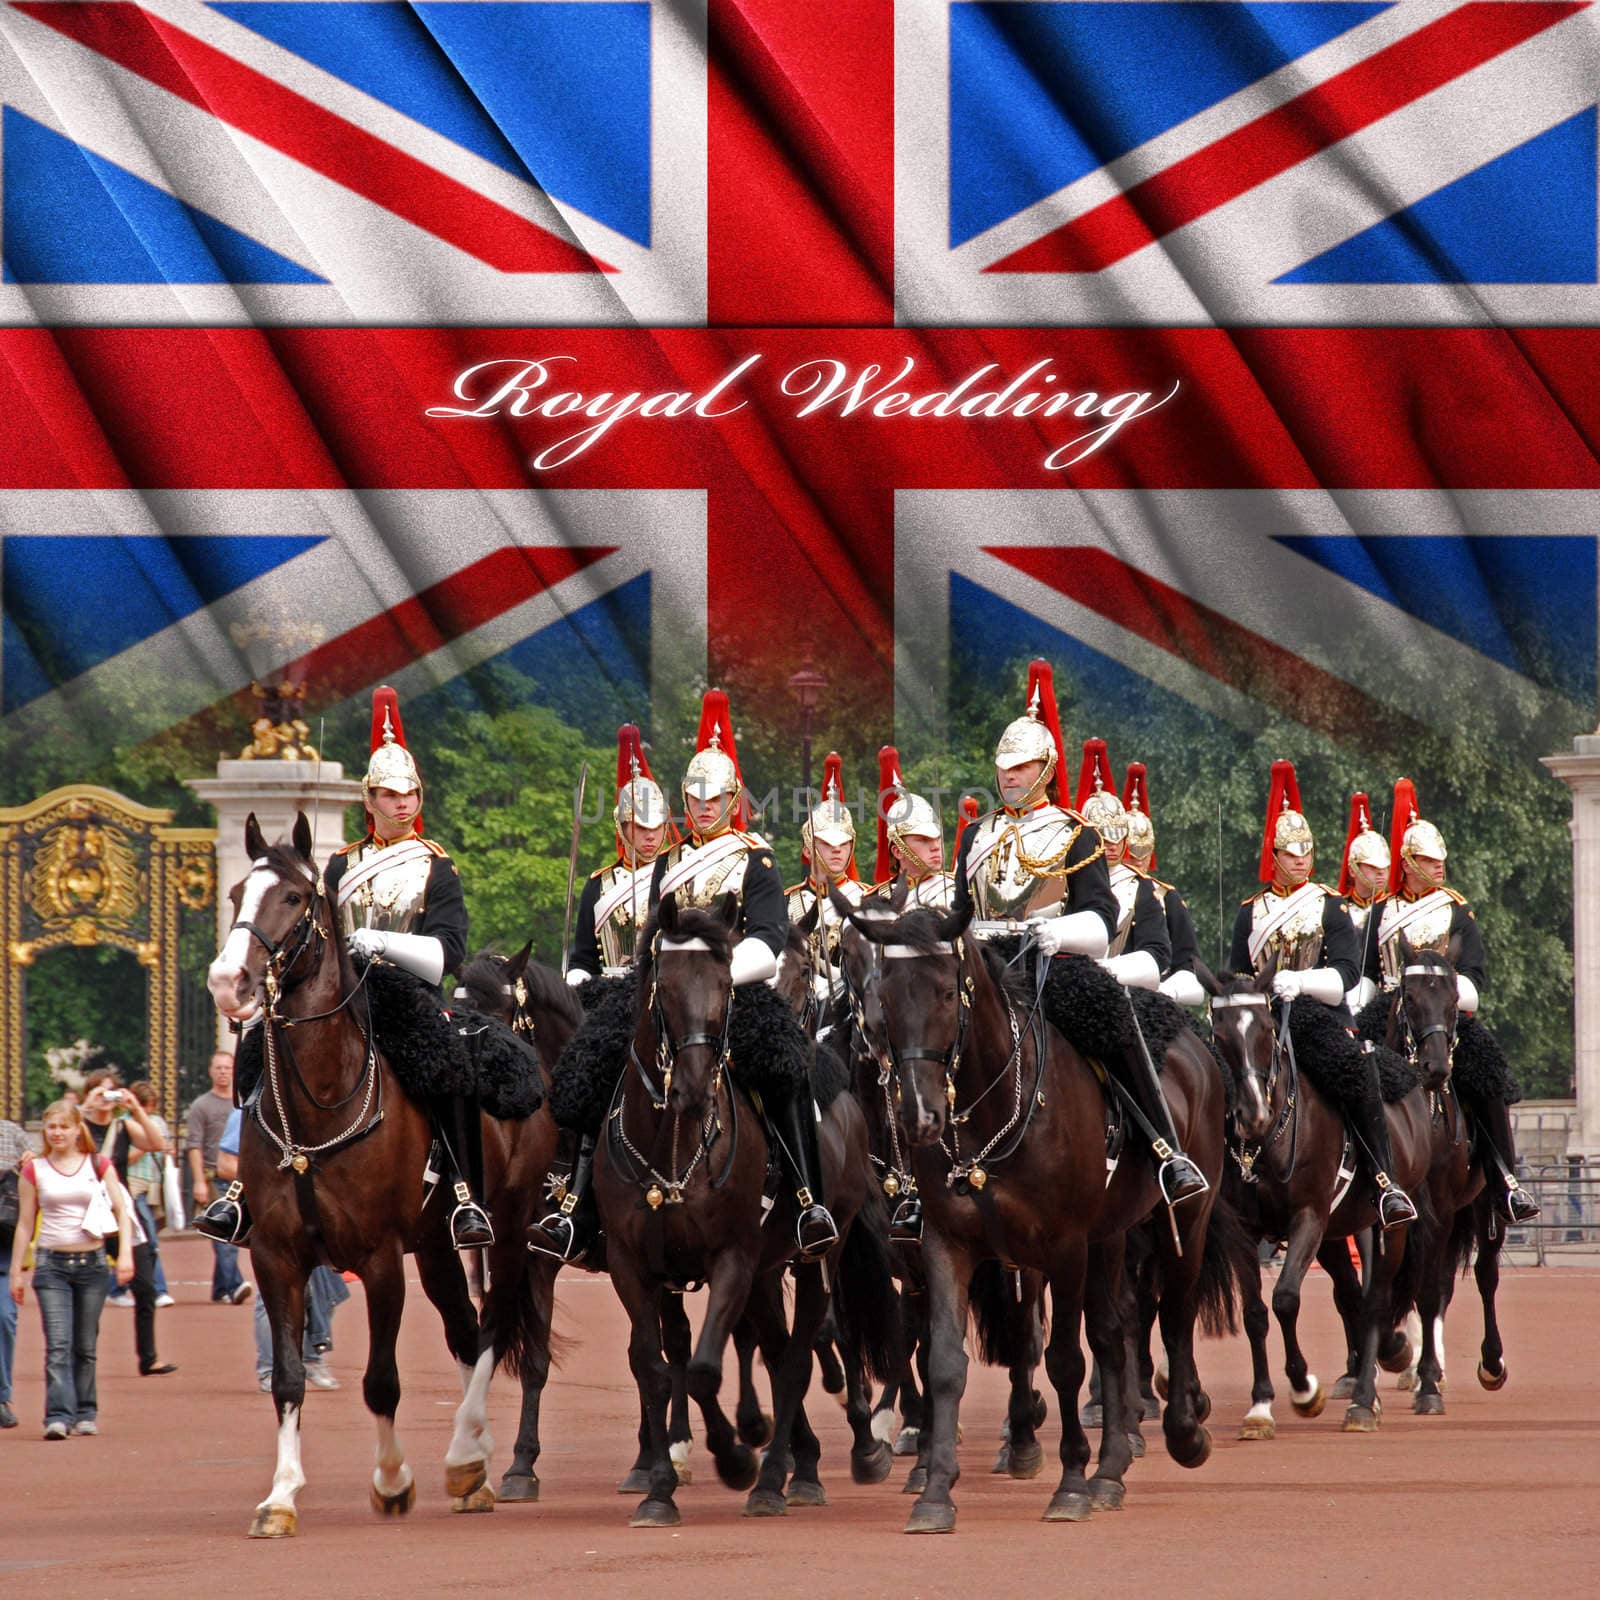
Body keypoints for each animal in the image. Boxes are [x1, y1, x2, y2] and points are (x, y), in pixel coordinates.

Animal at [206, 819, 560, 1529]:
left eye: (293, 897)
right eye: (235, 894)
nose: (229, 981)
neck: (317, 1107)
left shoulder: (379, 1258)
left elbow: (381, 1381)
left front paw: (393, 1481)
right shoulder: (275, 1255)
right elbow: (288, 1378)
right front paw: (280, 1497)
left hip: (509, 1233)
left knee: (490, 1326)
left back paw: (465, 1454)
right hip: (439, 1247)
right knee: (463, 1329)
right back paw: (474, 1466)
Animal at [601, 896, 902, 1529]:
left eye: (725, 986)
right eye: (664, 985)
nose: (693, 1089)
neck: (674, 1145)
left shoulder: (732, 1259)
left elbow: (704, 1368)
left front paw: (737, 1457)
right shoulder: (630, 1265)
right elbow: (655, 1369)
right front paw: (660, 1487)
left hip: (816, 1256)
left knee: (799, 1355)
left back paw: (784, 1476)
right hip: (767, 1269)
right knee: (776, 1345)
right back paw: (798, 1458)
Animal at [844, 896, 1228, 1529]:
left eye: (947, 992)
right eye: (888, 995)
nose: (920, 1114)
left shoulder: (1063, 1247)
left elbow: (1064, 1359)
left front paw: (1069, 1484)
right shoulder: (944, 1244)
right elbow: (944, 1361)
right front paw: (935, 1491)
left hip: (1186, 1219)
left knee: (1172, 1315)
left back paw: (1183, 1434)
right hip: (1109, 1235)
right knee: (1114, 1329)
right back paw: (1111, 1470)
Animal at [1203, 953, 1440, 1433]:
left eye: (1266, 1029)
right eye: (1219, 1033)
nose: (1252, 1114)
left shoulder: (1308, 1217)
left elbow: (1285, 1299)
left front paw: (1303, 1388)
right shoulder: (1245, 1231)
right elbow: (1255, 1313)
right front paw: (1260, 1406)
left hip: (1389, 1223)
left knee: (1376, 1298)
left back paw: (1366, 1399)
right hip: (1342, 1229)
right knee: (1355, 1295)